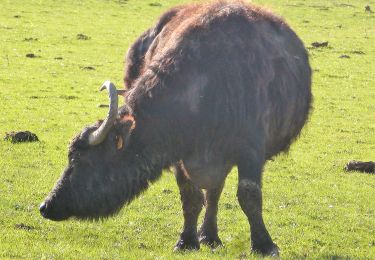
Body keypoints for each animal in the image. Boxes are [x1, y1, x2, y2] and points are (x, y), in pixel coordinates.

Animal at [39, 0, 312, 256]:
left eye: (82, 160)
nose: (46, 206)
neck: (207, 87)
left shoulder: (251, 150)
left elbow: (249, 196)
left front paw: (264, 244)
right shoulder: (179, 154)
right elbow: (191, 197)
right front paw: (187, 240)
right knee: (213, 191)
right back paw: (208, 235)